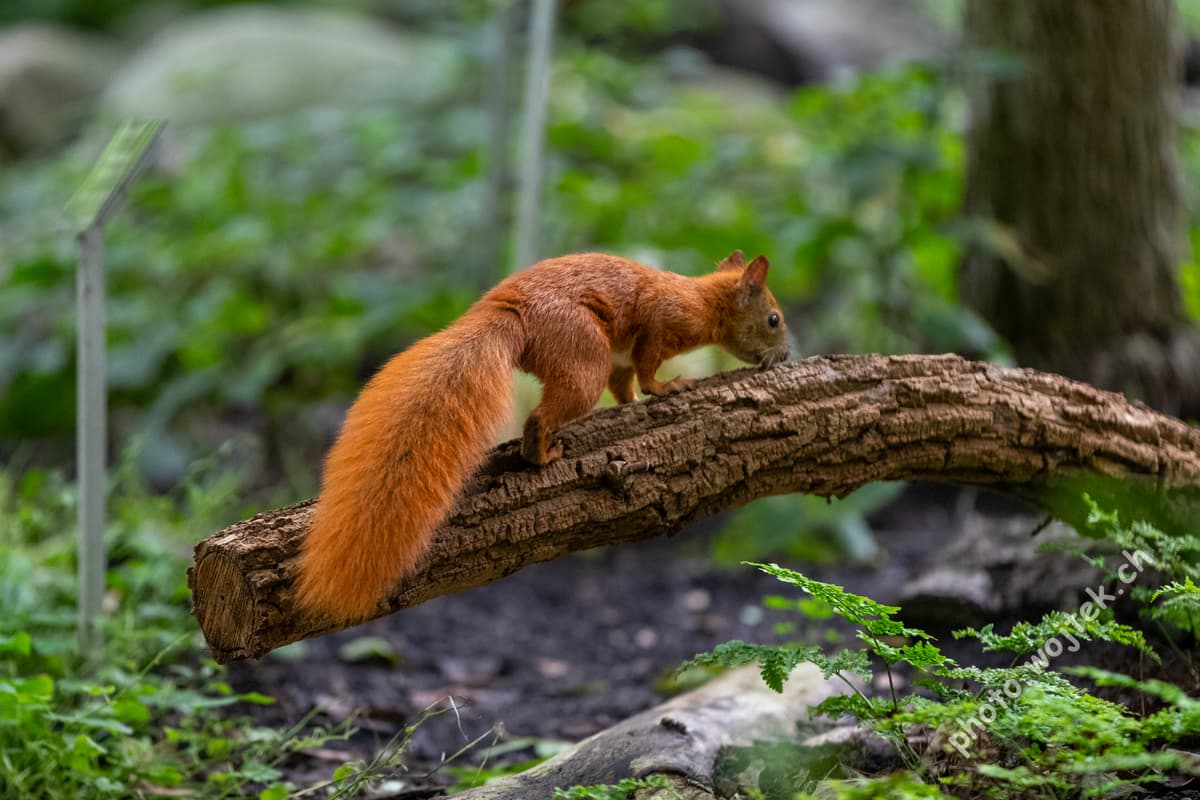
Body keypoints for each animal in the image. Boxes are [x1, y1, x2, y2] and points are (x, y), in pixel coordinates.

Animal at [295, 249, 789, 622]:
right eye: (773, 319)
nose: (785, 356)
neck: (702, 300)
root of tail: (507, 313)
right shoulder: (660, 326)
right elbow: (648, 370)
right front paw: (669, 387)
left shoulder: (621, 360)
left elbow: (624, 384)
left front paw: (631, 402)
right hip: (582, 356)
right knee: (539, 417)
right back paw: (542, 453)